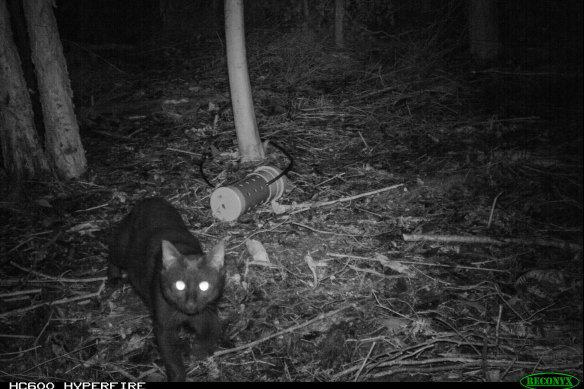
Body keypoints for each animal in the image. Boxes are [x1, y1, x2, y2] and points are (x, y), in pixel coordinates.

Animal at [108, 199, 225, 380]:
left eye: (204, 285)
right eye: (179, 285)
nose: (191, 304)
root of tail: (149, 199)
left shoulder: (208, 315)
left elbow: (211, 335)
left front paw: (195, 351)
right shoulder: (164, 327)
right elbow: (172, 361)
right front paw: (178, 376)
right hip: (121, 248)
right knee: (111, 253)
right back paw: (114, 278)